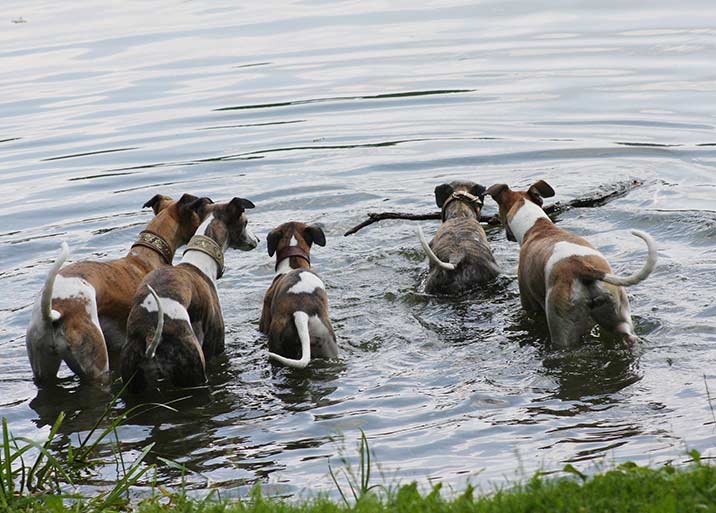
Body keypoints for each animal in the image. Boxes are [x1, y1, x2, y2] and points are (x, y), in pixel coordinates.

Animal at [120, 198, 258, 390]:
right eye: (245, 222)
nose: (257, 240)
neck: (198, 263)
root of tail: (150, 335)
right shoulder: (215, 347)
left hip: (133, 381)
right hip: (194, 370)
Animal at [486, 180, 656, 348]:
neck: (536, 226)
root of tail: (582, 268)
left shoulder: (530, 304)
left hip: (562, 328)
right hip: (617, 311)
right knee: (628, 335)